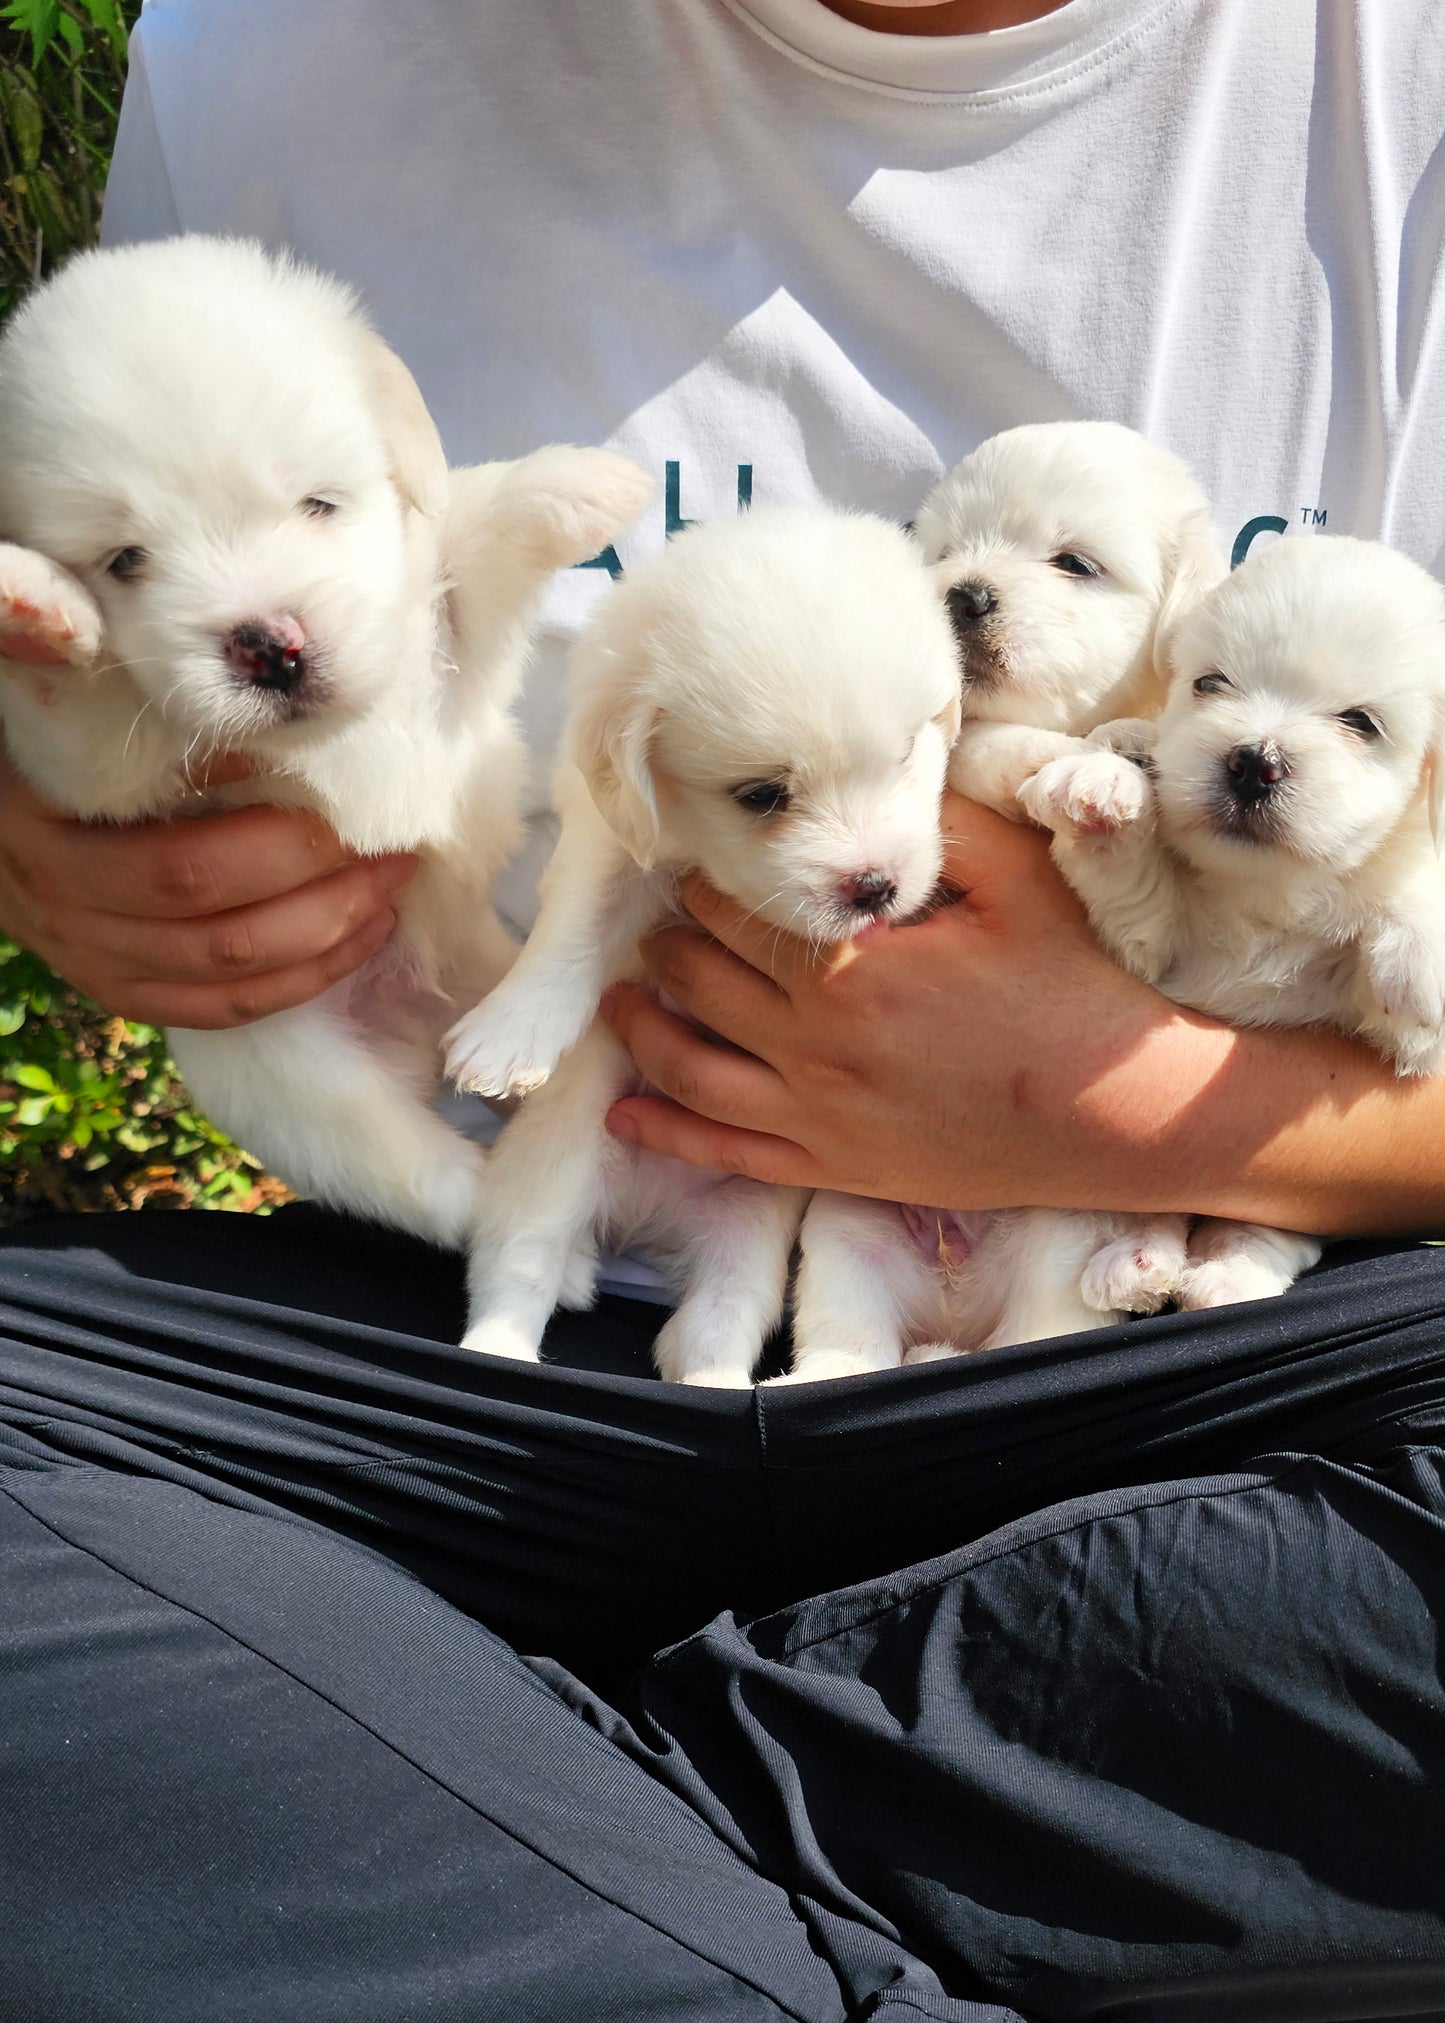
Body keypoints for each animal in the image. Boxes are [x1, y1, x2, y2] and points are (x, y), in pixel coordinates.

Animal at [0, 232, 647, 1246]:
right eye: (124, 560)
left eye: (318, 505)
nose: (268, 643)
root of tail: (416, 1008)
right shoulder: (101, 765)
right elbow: (72, 689)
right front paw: (35, 598)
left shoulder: (455, 652)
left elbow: (473, 526)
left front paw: (580, 479)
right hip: (306, 1095)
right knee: (434, 1184)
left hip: (498, 979)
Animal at [439, 505, 955, 1391]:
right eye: (761, 795)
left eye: (903, 755)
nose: (874, 886)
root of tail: (648, 1214)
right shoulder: (612, 837)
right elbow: (576, 924)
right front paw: (508, 1036)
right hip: (554, 1172)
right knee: (518, 1273)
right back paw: (496, 1355)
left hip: (745, 1228)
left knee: (705, 1329)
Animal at [1019, 530, 1440, 1302]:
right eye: (1210, 684)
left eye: (1359, 723)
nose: (1252, 761)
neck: (1271, 894)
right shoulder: (1157, 949)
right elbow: (1131, 884)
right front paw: (1105, 775)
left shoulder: (1397, 1038)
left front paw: (1419, 947)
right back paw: (1139, 1262)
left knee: (1265, 1224)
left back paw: (1226, 1272)